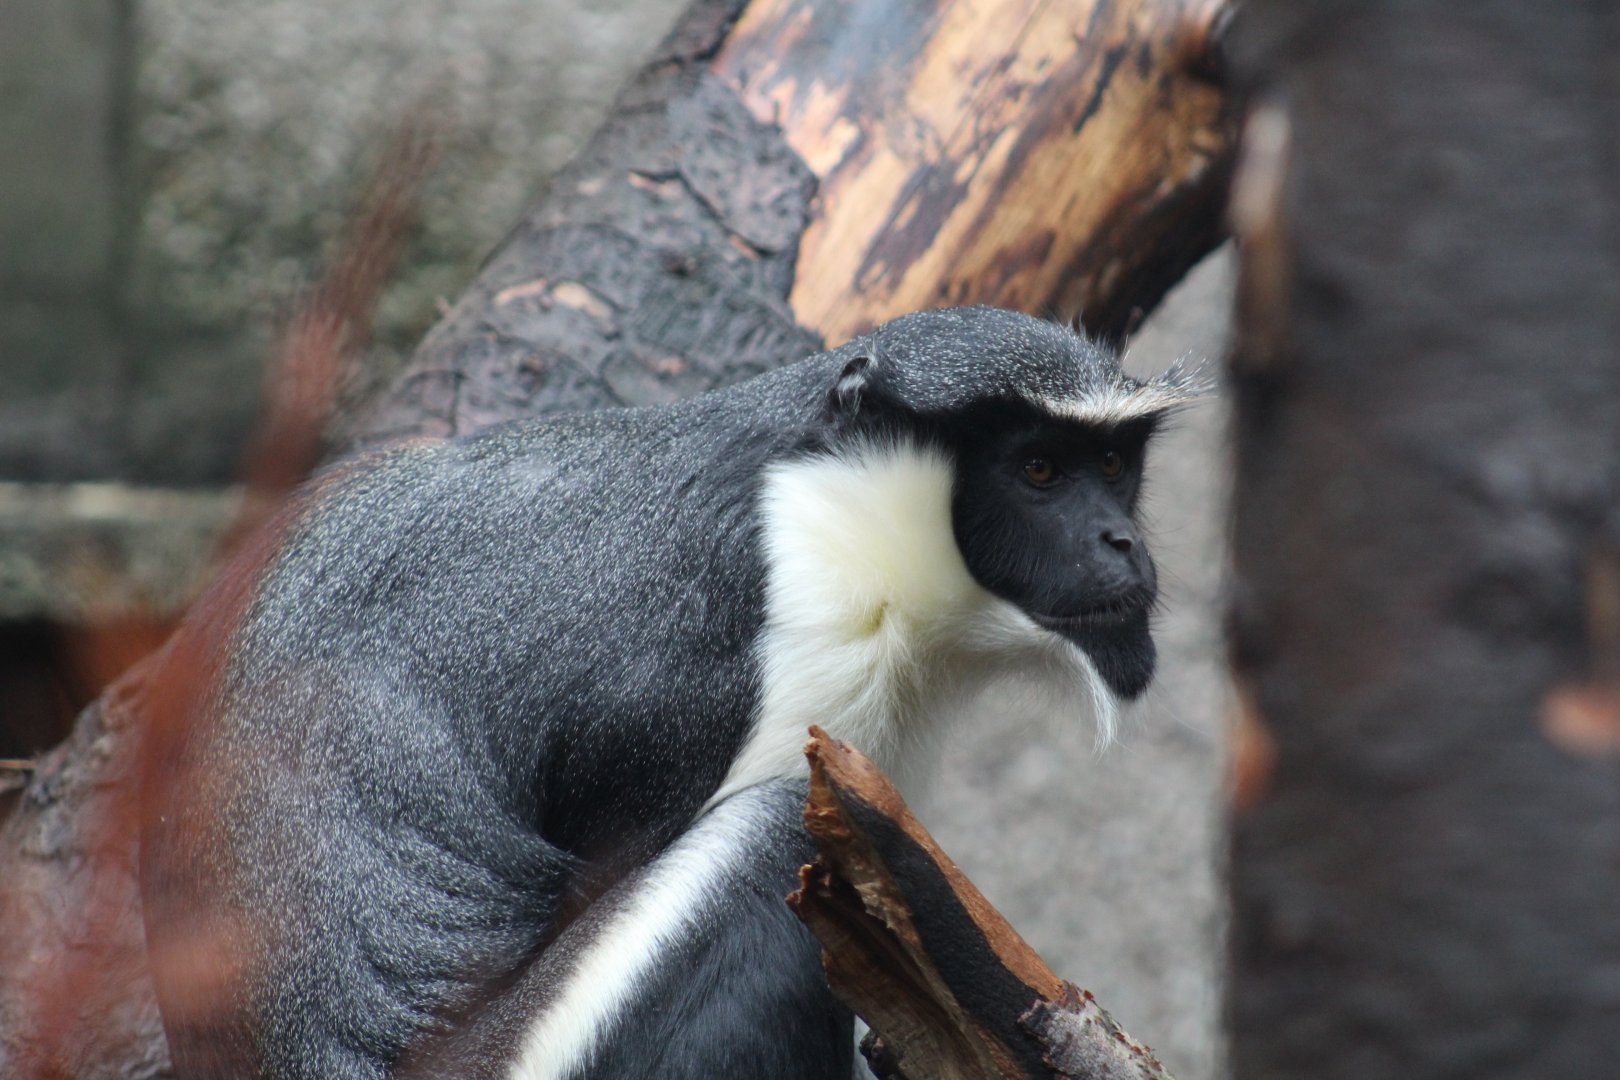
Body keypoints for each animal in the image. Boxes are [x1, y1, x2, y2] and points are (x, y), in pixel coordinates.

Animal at [139, 306, 1197, 1079]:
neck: (820, 503)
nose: (1124, 543)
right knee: (768, 838)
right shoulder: (688, 682)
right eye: (1039, 469)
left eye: (1112, 465)